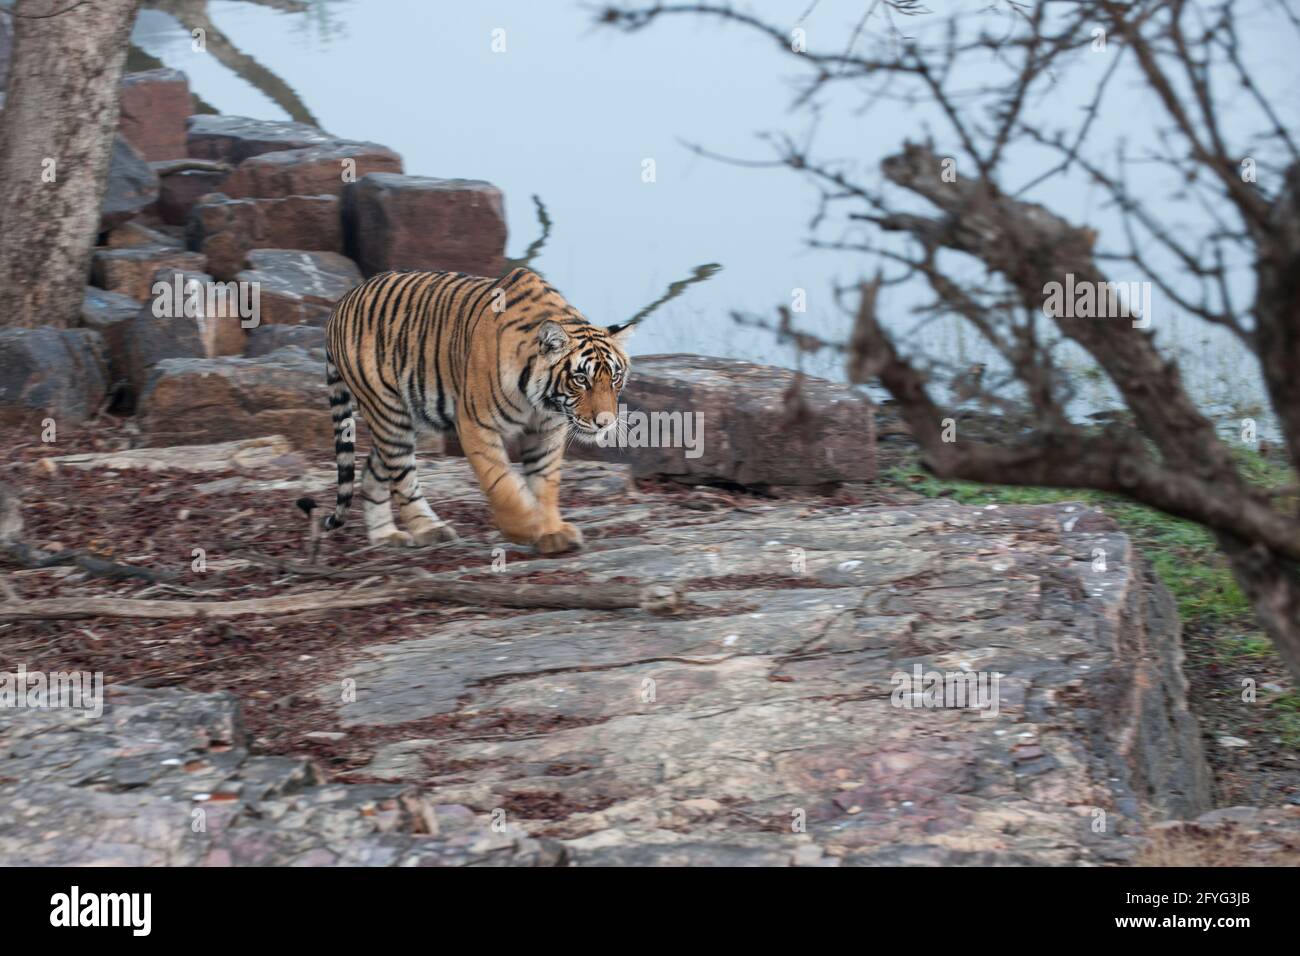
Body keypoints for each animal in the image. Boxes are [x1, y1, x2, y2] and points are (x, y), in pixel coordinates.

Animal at [319, 265, 634, 556]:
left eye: (615, 378)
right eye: (581, 379)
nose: (606, 422)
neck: (538, 399)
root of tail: (342, 302)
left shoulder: (547, 428)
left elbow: (545, 482)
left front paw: (552, 532)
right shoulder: (475, 423)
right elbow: (501, 483)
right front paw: (526, 526)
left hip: (409, 417)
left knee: (372, 469)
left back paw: (385, 535)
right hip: (388, 412)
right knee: (402, 475)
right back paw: (428, 529)